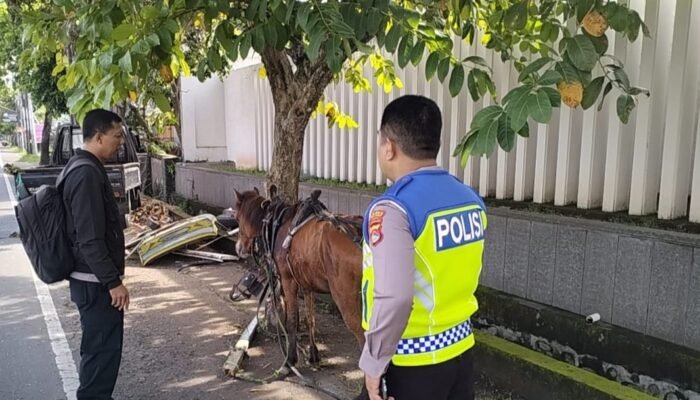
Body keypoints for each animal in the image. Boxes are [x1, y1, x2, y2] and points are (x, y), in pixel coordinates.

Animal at [235, 188, 366, 366]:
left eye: (236, 217)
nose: (238, 248)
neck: (278, 224)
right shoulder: (306, 282)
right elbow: (310, 319)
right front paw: (313, 353)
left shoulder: (288, 280)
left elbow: (292, 320)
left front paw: (290, 359)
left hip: (346, 296)